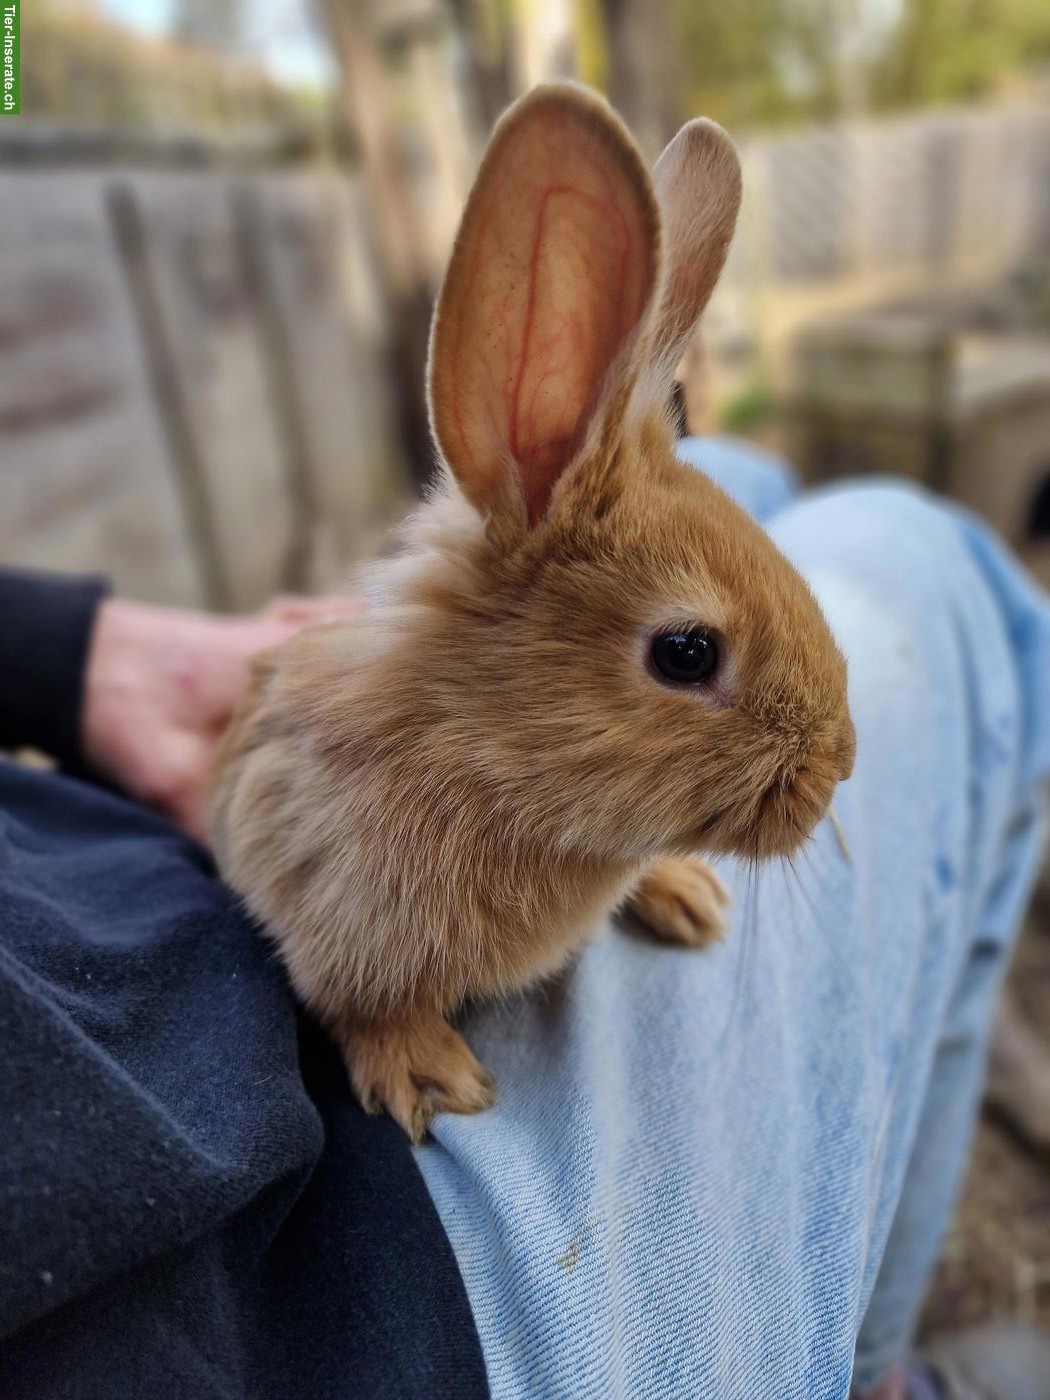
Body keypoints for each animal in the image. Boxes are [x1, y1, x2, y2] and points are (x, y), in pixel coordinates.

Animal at [209, 83, 856, 1143]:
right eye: (686, 652)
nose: (839, 768)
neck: (486, 763)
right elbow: (360, 1003)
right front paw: (430, 1078)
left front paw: (683, 895)